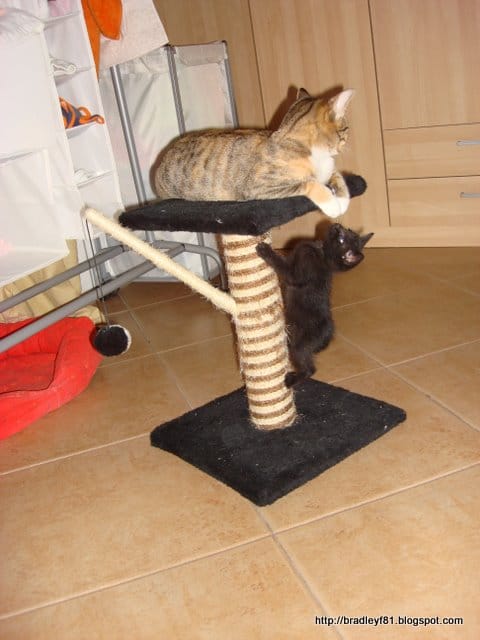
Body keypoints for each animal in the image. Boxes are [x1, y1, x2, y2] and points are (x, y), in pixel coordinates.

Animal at [153, 88, 354, 219]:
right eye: (345, 128)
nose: (347, 141)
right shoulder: (260, 186)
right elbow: (310, 183)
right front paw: (332, 205)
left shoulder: (330, 171)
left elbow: (339, 178)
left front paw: (343, 202)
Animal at [256, 223, 374, 387]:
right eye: (347, 230)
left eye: (341, 239)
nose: (337, 225)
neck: (321, 254)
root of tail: (327, 337)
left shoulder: (298, 273)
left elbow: (283, 267)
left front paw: (266, 250)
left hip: (300, 345)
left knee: (309, 369)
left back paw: (292, 380)